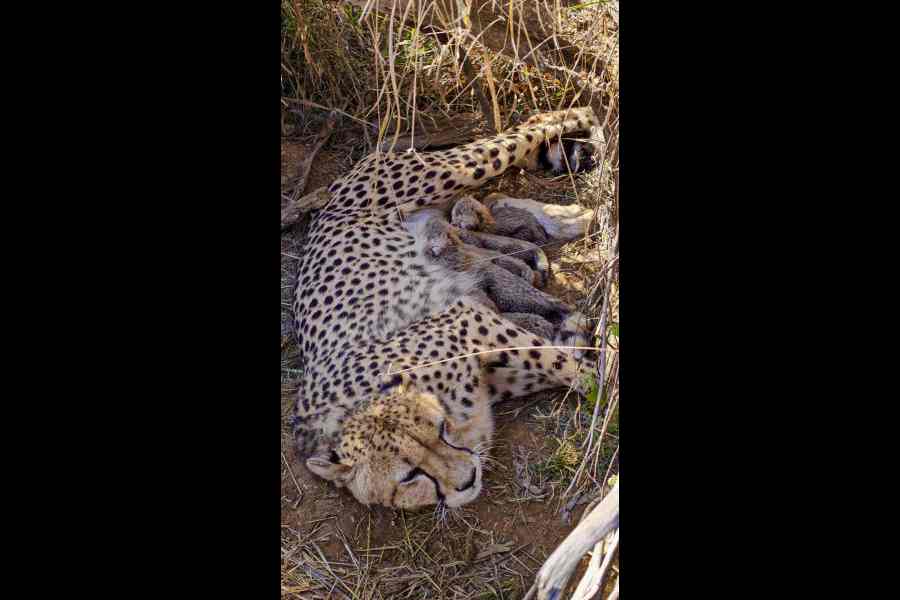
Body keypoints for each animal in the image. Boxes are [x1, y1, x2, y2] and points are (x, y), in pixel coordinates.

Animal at [291, 107, 600, 510]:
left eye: (439, 431)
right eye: (409, 476)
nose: (467, 479)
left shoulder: (468, 321)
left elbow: (563, 363)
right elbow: (556, 356)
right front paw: (572, 333)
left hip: (451, 170)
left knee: (536, 126)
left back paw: (588, 125)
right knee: (496, 195)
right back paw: (568, 219)